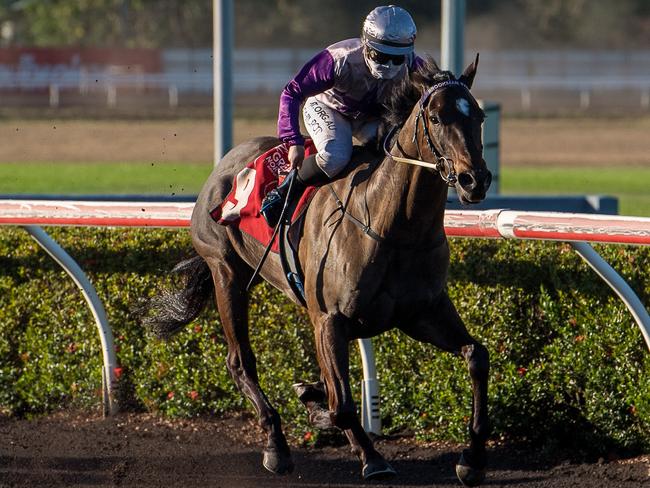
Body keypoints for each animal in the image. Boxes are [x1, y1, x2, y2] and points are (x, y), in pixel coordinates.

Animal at [144, 56, 492, 484]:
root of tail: (226, 163)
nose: (475, 180)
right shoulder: (329, 318)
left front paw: (471, 458)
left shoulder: (422, 311)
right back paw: (276, 446)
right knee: (240, 362)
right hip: (226, 272)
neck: (393, 227)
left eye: (478, 115)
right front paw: (370, 456)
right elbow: (341, 402)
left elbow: (477, 356)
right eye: (438, 117)